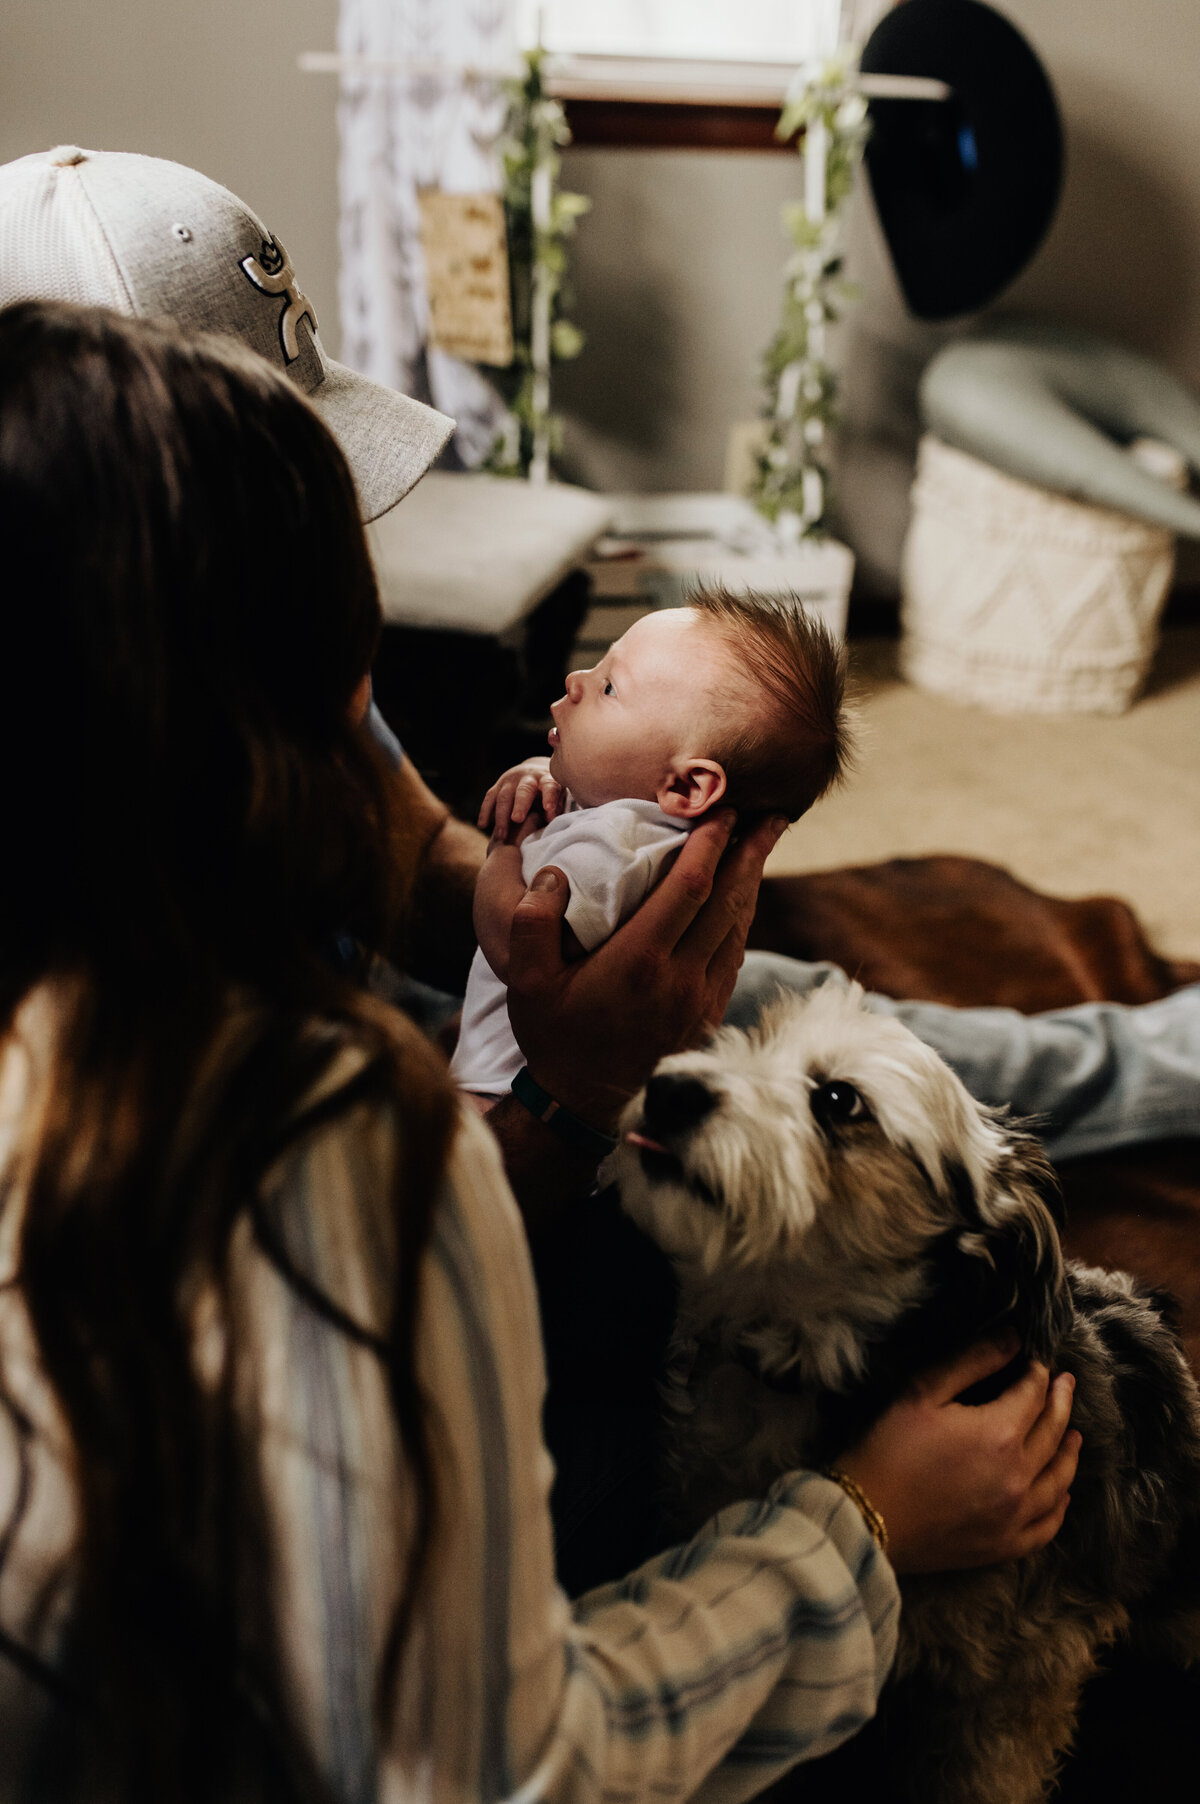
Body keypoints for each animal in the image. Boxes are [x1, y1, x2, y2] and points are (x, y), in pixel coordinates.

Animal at [609, 988, 1198, 1804]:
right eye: (749, 1037)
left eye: (838, 1100)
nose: (667, 1088)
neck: (810, 1373)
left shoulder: (1016, 1684)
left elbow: (985, 1779)